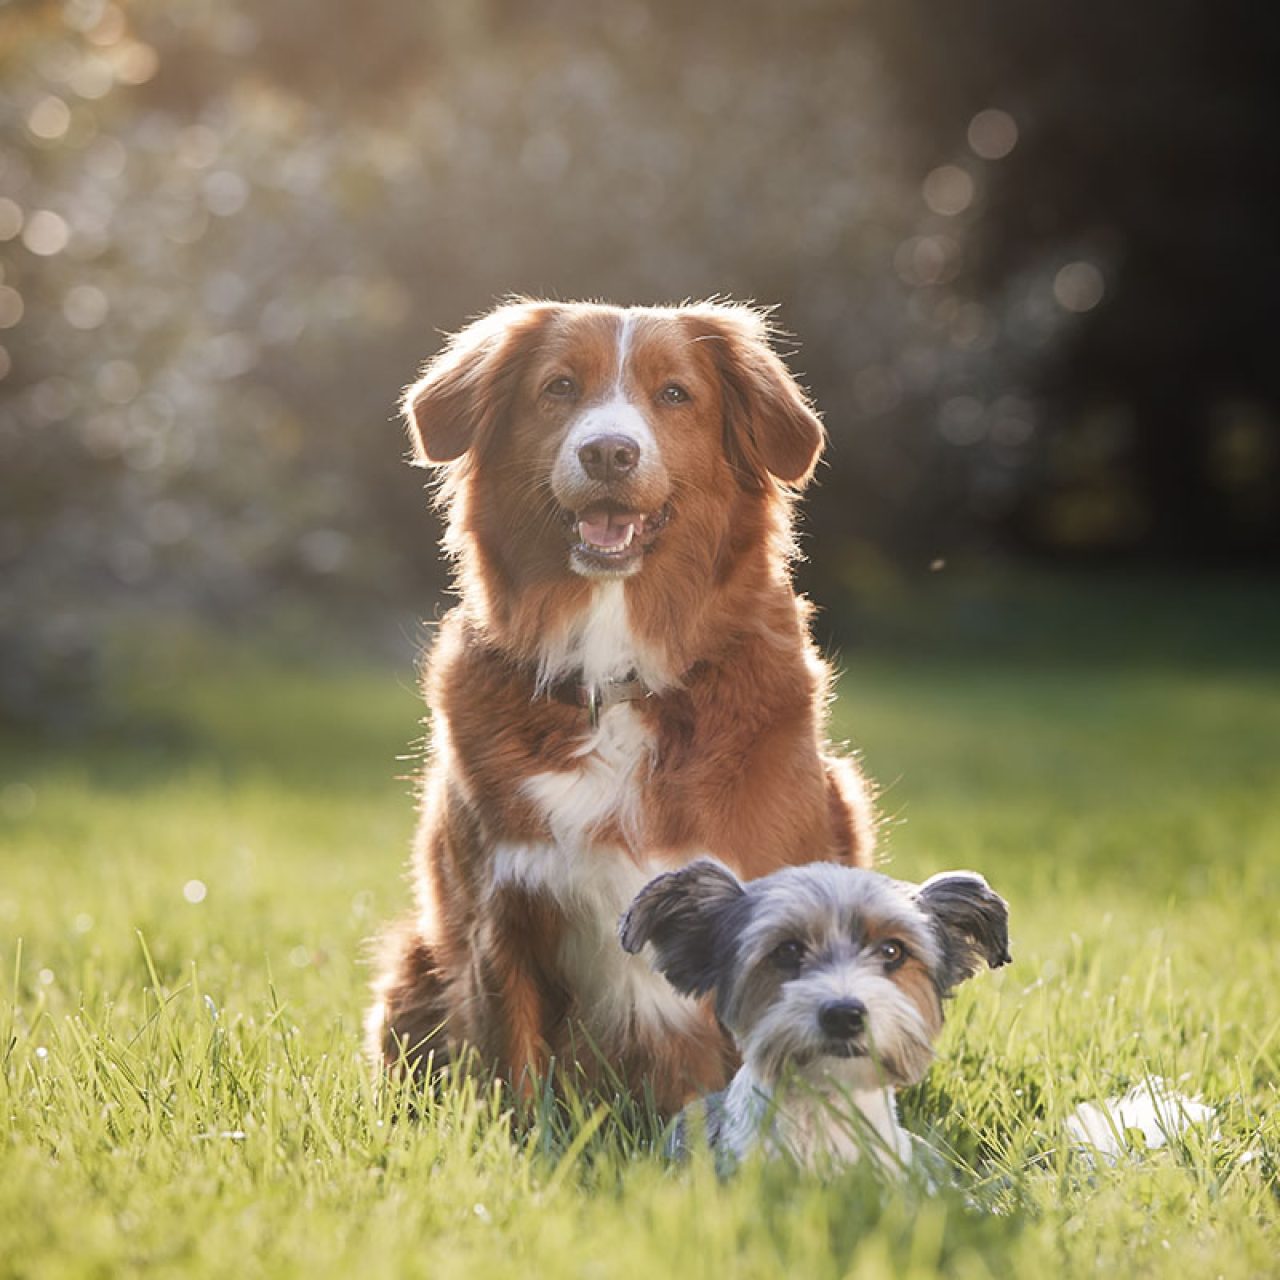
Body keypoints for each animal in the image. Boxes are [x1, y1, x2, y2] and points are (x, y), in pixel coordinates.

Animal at [366, 299, 875, 1111]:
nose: (609, 453)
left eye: (674, 395)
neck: (616, 678)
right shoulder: (500, 917)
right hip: (416, 960)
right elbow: (513, 1070)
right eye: (560, 387)